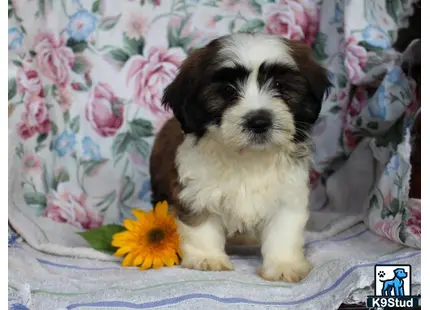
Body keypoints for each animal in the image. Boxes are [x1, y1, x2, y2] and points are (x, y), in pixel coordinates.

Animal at [149, 32, 330, 282]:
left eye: (279, 85)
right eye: (227, 91)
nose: (259, 121)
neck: (248, 157)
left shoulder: (288, 195)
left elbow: (284, 231)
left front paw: (284, 264)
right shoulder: (195, 192)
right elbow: (201, 225)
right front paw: (207, 258)